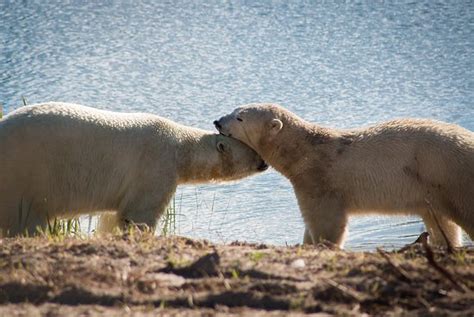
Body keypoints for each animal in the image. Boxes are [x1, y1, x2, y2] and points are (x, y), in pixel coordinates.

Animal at [0, 102, 266, 236]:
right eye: (253, 150)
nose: (264, 163)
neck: (180, 146)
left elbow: (111, 218)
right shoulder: (155, 166)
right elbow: (139, 215)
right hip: (23, 179)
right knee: (27, 222)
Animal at [215, 103, 474, 247]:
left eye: (240, 117)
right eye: (234, 108)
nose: (217, 121)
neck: (307, 151)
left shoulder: (320, 180)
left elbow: (326, 222)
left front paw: (322, 245)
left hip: (453, 175)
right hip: (435, 187)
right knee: (441, 222)